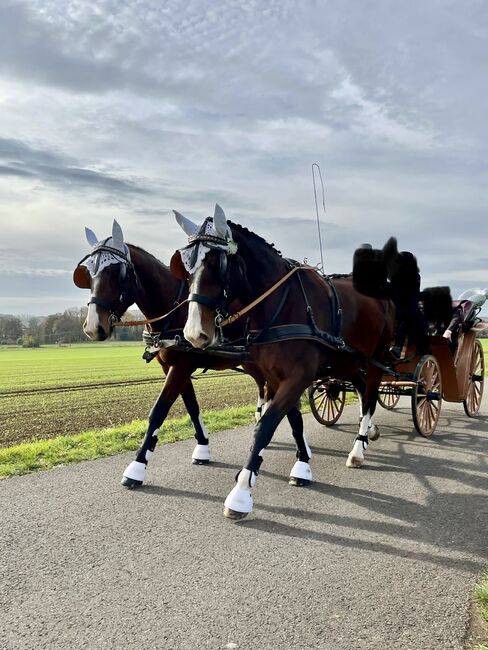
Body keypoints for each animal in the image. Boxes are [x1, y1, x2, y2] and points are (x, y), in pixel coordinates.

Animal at [72, 218, 308, 486]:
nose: (92, 327)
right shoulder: (171, 367)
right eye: (87, 275)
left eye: (115, 272)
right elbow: (192, 407)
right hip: (254, 364)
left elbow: (158, 411)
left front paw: (137, 466)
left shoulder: (182, 366)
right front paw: (202, 448)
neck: (174, 309)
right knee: (266, 390)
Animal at [173, 205, 394, 520]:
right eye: (186, 265)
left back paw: (358, 450)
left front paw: (241, 492)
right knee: (363, 390)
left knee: (371, 396)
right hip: (347, 361)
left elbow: (266, 425)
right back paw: (369, 433)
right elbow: (292, 421)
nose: (194, 333)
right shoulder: (276, 377)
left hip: (376, 359)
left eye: (218, 263)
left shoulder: (297, 377)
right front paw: (300, 466)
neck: (283, 305)